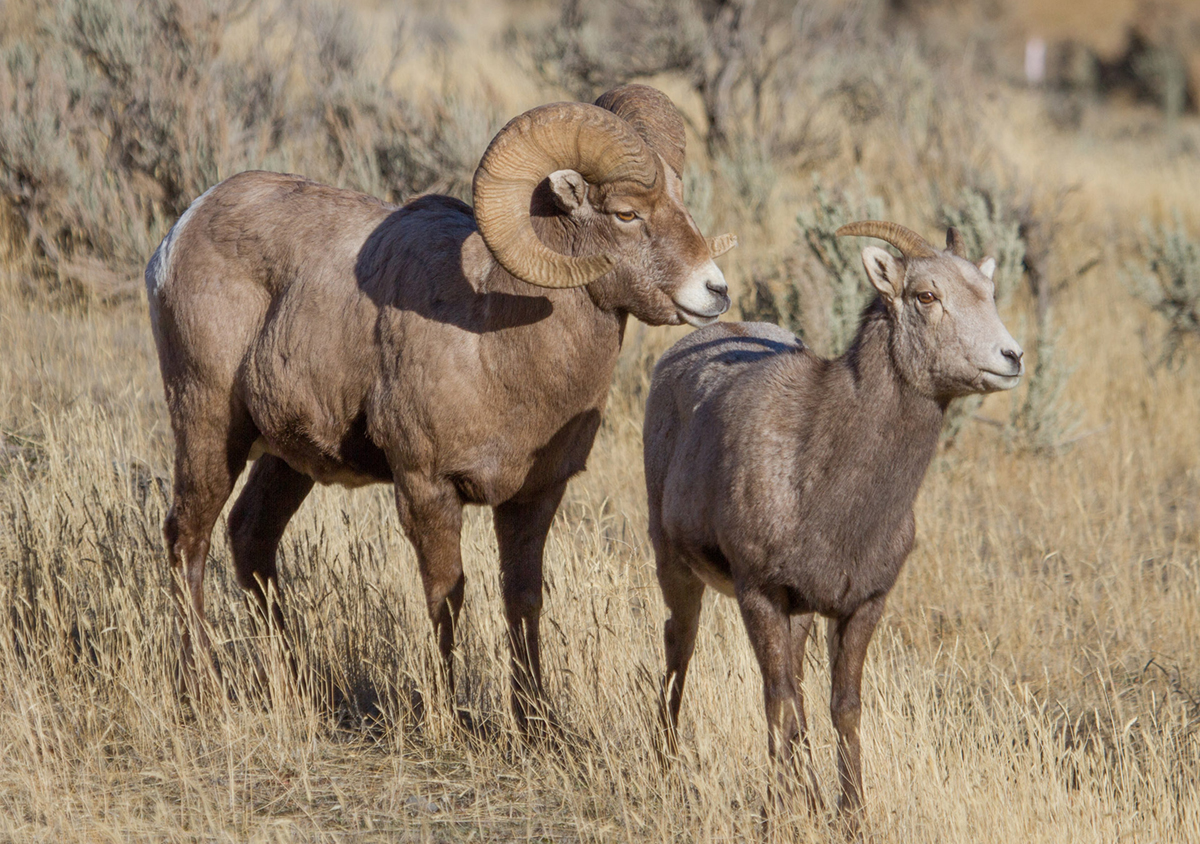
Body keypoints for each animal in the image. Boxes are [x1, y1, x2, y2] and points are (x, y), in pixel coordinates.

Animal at [145, 84, 735, 729]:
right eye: (627, 214)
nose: (715, 291)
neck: (496, 345)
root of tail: (182, 231)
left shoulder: (533, 497)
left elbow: (523, 600)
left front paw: (536, 723)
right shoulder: (427, 488)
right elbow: (446, 598)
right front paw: (449, 719)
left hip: (288, 459)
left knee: (251, 538)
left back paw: (300, 684)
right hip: (208, 422)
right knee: (189, 536)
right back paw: (202, 687)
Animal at [642, 220, 1023, 826]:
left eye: (988, 292)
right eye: (926, 296)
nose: (1011, 357)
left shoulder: (860, 605)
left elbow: (840, 708)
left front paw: (849, 813)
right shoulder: (760, 593)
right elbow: (778, 701)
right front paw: (784, 811)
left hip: (797, 616)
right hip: (675, 565)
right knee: (681, 646)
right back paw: (667, 764)